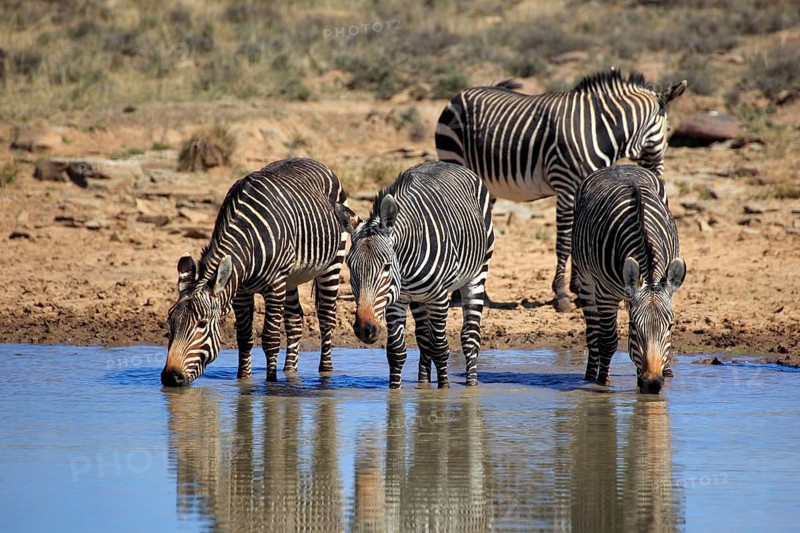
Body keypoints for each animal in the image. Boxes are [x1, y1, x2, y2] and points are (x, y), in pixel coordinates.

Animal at [161, 157, 347, 387]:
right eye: (170, 322)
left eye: (202, 324)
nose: (170, 377)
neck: (248, 242)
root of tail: (312, 160)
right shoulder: (241, 292)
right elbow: (244, 338)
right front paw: (243, 380)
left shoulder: (275, 285)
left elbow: (270, 338)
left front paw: (271, 383)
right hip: (291, 279)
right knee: (295, 320)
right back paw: (290, 372)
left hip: (332, 263)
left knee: (327, 317)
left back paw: (326, 373)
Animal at [334, 161, 494, 389]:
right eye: (350, 266)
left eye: (386, 266)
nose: (366, 329)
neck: (405, 269)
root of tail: (447, 163)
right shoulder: (396, 300)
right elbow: (396, 352)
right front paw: (396, 391)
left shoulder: (439, 298)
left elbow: (440, 348)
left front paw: (443, 390)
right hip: (418, 298)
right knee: (423, 337)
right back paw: (423, 382)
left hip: (478, 274)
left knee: (470, 336)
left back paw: (471, 384)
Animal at [435, 69, 687, 312]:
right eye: (669, 129)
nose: (658, 176)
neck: (599, 129)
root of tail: (460, 93)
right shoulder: (566, 186)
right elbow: (564, 243)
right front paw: (562, 295)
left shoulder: (584, 189)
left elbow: (578, 237)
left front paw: (578, 289)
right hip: (454, 158)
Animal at [571, 165, 686, 394]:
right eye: (633, 326)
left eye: (670, 326)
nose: (652, 384)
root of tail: (621, 166)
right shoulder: (605, 294)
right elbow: (608, 341)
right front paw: (602, 382)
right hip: (586, 279)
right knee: (593, 331)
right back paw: (590, 375)